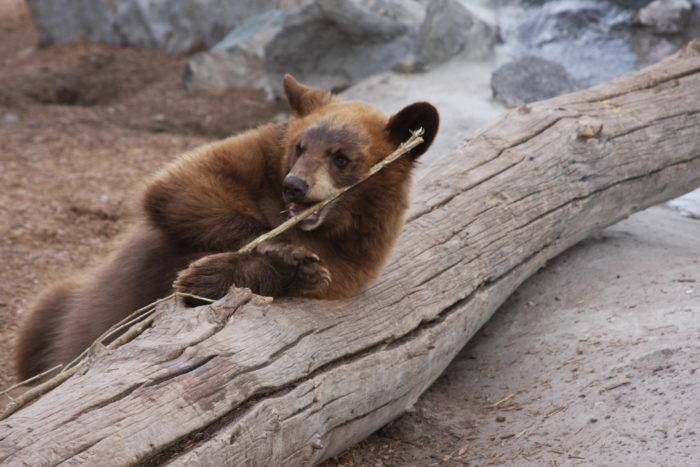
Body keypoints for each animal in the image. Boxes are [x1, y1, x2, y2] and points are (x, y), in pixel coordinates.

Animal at [15, 74, 438, 380]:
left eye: (342, 158)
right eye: (300, 147)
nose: (294, 185)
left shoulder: (361, 251)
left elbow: (325, 278)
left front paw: (212, 277)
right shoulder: (258, 156)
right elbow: (185, 183)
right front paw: (278, 249)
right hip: (61, 306)